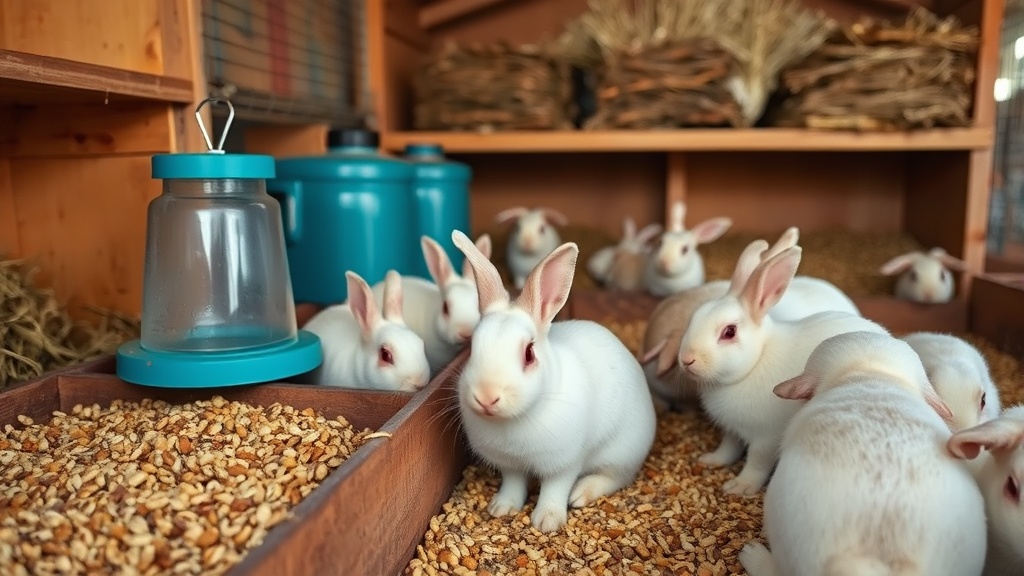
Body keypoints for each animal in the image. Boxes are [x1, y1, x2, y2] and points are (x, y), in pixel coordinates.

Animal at [450, 228, 657, 533]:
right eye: (472, 348)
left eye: (529, 354)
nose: (486, 397)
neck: (516, 418)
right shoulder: (510, 465)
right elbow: (513, 484)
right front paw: (501, 508)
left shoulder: (564, 463)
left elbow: (554, 489)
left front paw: (546, 521)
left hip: (622, 452)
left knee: (615, 478)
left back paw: (582, 493)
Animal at [676, 245, 889, 495]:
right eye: (695, 316)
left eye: (729, 332)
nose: (686, 359)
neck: (755, 363)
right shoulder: (732, 430)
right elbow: (728, 448)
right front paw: (711, 460)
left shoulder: (766, 438)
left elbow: (756, 463)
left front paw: (740, 486)